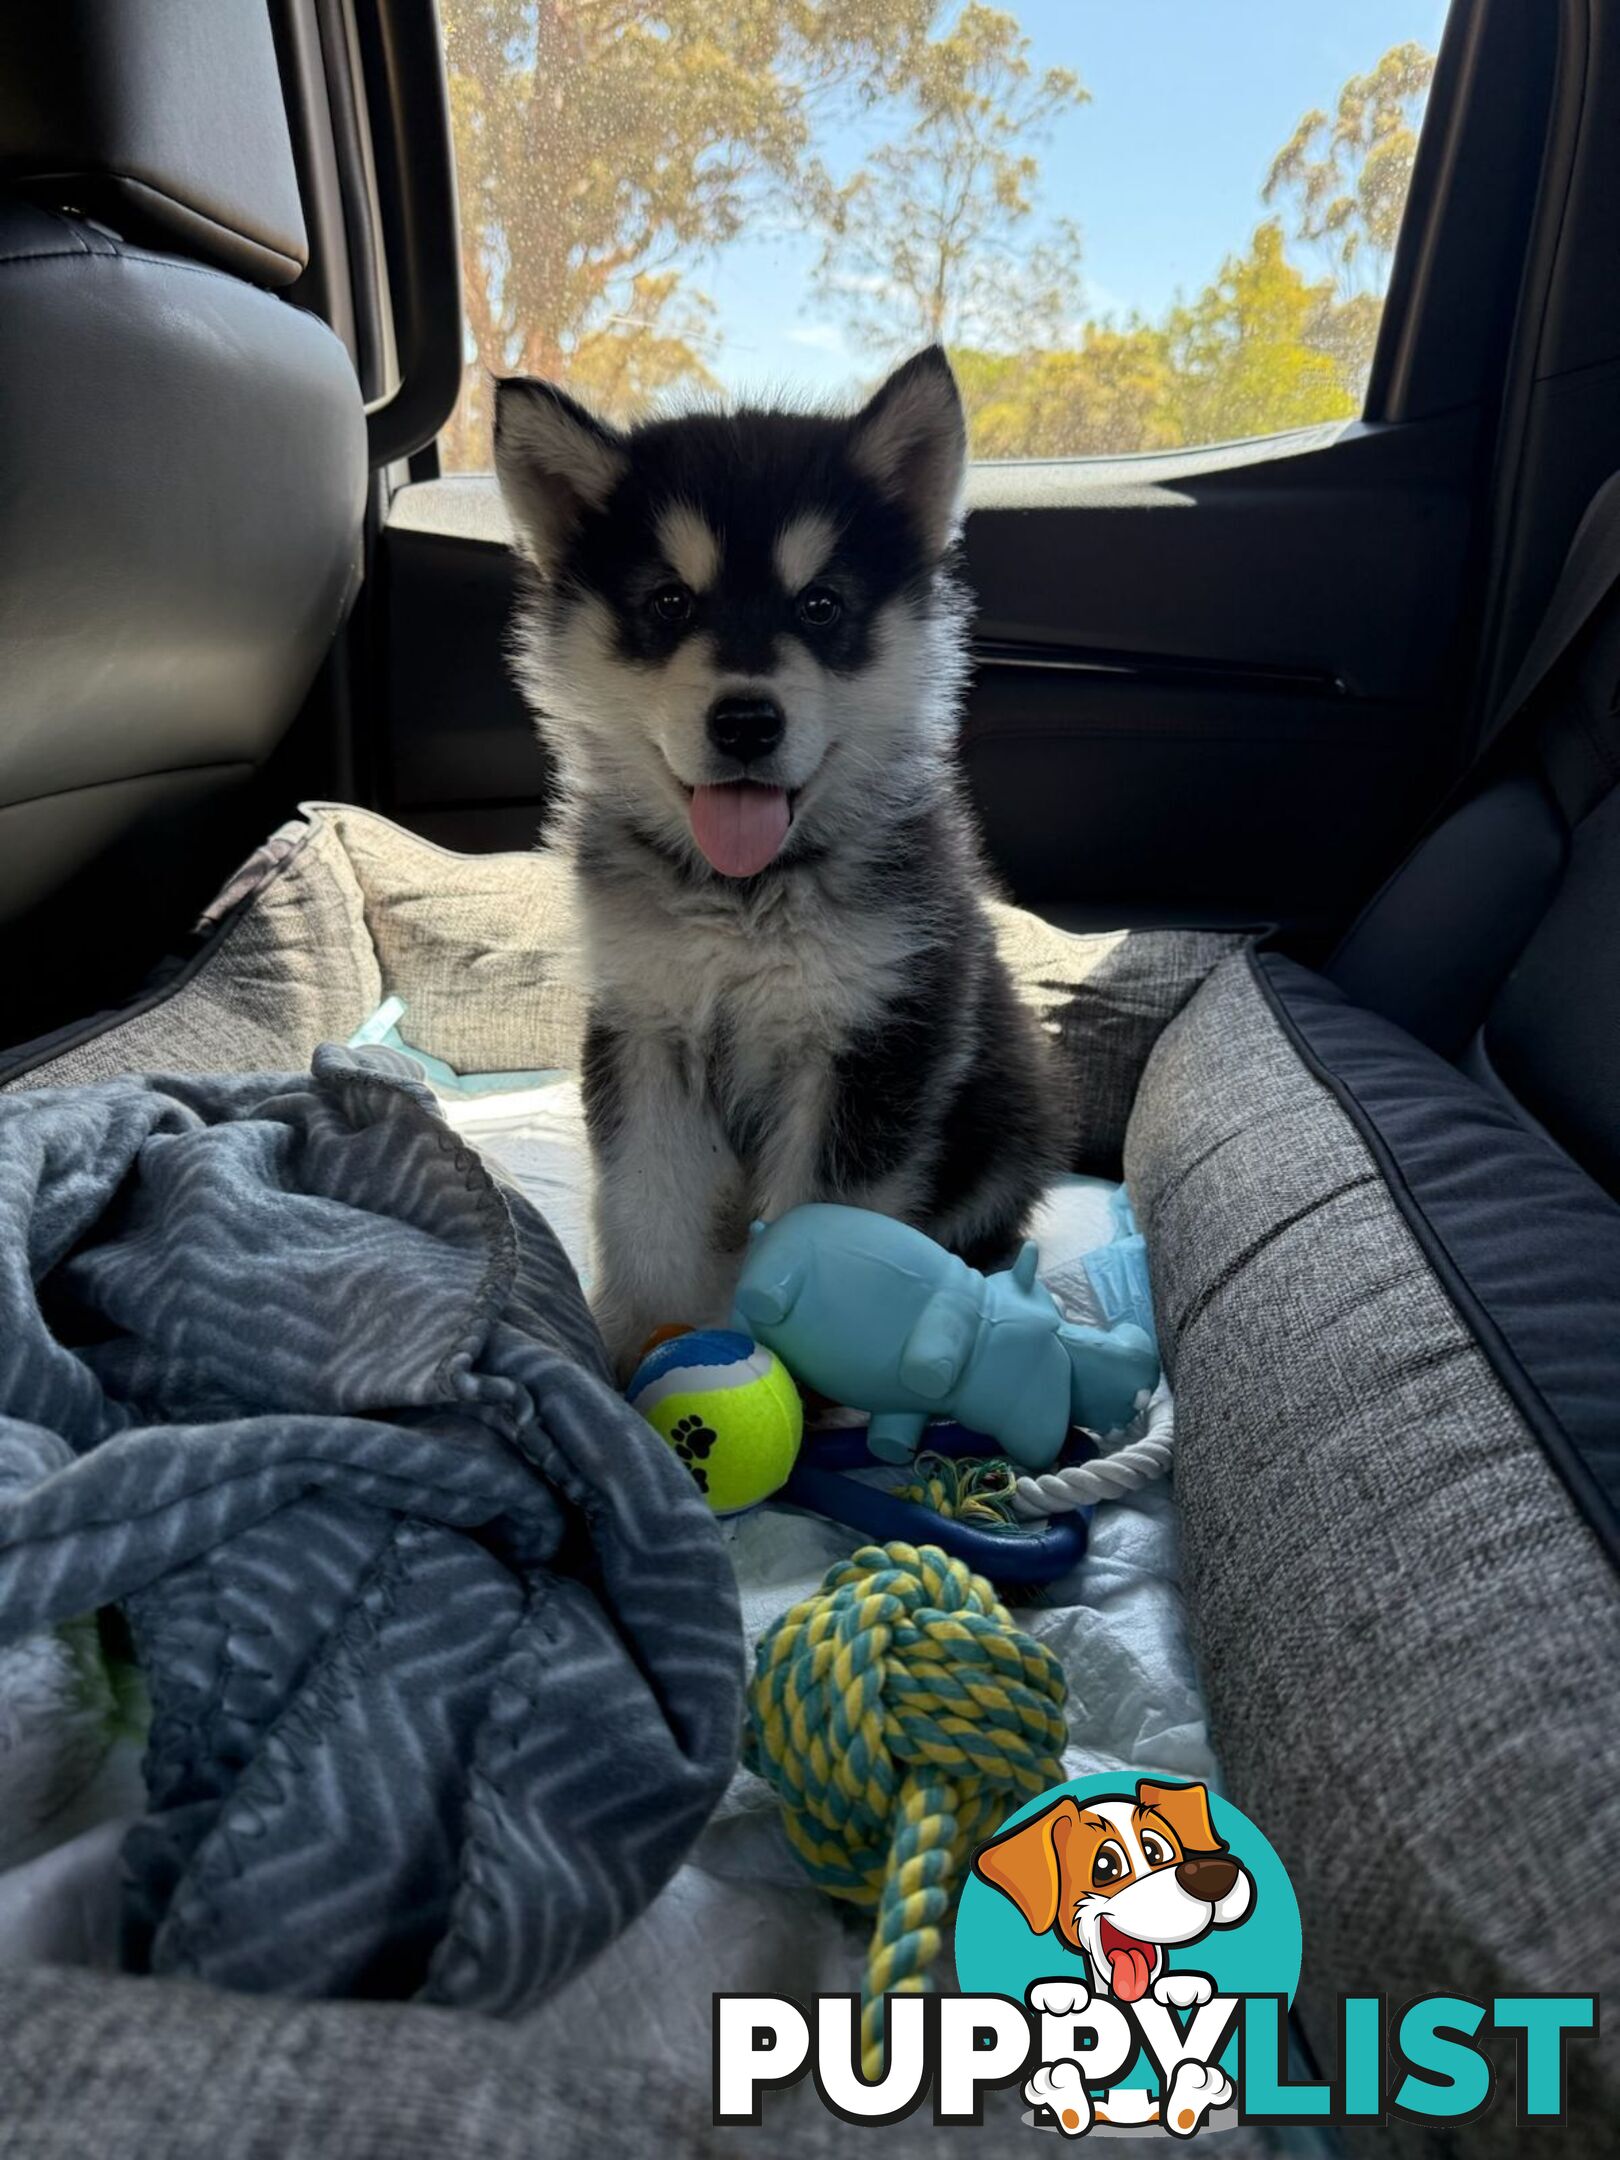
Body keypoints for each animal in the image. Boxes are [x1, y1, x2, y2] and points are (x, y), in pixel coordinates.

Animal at [501, 345, 1071, 1373]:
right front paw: (634, 1345)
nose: (745, 721)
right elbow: (644, 1203)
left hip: (1011, 1102)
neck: (745, 899)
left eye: (821, 605)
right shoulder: (646, 1026)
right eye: (668, 602)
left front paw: (823, 1376)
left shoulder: (872, 1044)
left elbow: (831, 1223)